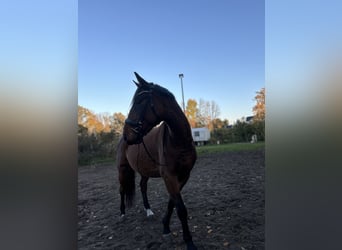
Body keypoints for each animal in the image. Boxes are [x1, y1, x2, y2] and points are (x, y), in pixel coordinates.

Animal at [116, 72, 198, 250]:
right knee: (122, 189)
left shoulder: (183, 176)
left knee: (142, 186)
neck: (178, 140)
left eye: (139, 102)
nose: (127, 133)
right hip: (122, 170)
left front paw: (166, 226)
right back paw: (122, 213)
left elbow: (172, 203)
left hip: (144, 171)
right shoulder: (169, 176)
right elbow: (180, 208)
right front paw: (189, 241)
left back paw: (148, 211)